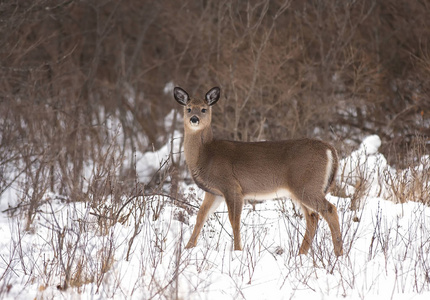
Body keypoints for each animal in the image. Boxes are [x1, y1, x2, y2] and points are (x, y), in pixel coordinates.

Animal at [173, 85, 344, 256]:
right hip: (301, 189)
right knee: (313, 217)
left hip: (307, 185)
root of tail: (330, 149)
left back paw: (338, 253)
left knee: (329, 210)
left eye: (204, 109)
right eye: (188, 108)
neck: (206, 155)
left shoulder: (231, 186)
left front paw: (237, 251)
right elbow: (200, 216)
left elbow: (234, 221)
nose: (194, 119)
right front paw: (187, 248)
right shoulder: (214, 192)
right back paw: (301, 253)